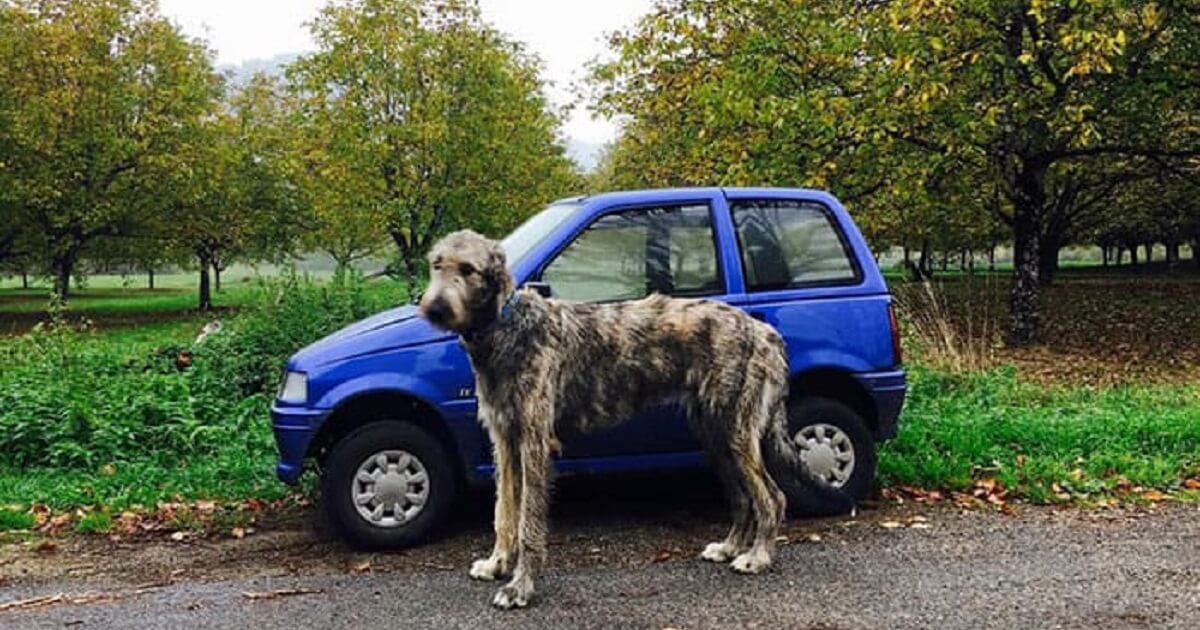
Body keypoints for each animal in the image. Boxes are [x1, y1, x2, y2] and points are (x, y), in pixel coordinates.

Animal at [417, 228, 849, 607]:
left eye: (469, 269)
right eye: (437, 264)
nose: (434, 308)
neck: (506, 324)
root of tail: (765, 333)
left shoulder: (535, 442)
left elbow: (528, 523)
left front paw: (520, 587)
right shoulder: (505, 441)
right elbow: (504, 512)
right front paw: (496, 565)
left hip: (736, 432)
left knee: (771, 497)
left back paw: (758, 557)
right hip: (714, 434)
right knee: (743, 497)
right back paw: (729, 547)